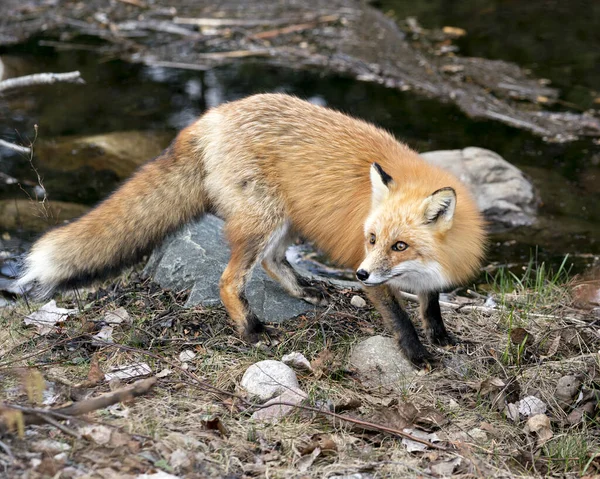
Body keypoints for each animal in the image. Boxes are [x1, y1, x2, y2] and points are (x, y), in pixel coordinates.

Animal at [18, 94, 486, 366]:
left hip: (288, 218)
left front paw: (441, 336)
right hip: (264, 218)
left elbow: (430, 305)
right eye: (371, 240)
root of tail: (212, 115)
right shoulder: (376, 279)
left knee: (273, 260)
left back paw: (304, 290)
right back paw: (251, 330)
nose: (359, 274)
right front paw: (418, 354)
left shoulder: (427, 274)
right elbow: (400, 319)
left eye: (400, 245)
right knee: (230, 280)